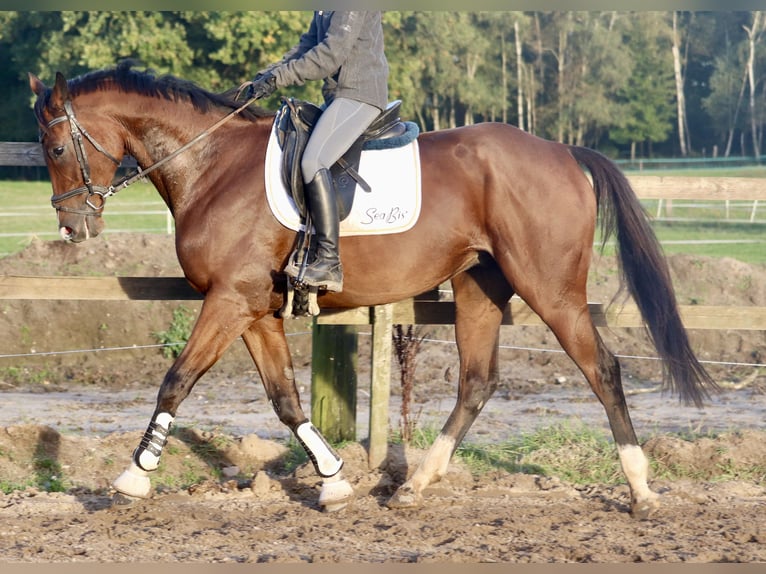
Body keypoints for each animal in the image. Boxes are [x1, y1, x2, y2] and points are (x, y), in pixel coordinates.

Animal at [27, 62, 716, 516]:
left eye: (55, 147)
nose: (73, 226)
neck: (211, 164)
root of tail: (562, 150)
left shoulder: (228, 300)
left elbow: (176, 380)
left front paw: (133, 478)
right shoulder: (253, 308)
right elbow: (286, 400)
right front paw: (333, 481)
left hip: (551, 289)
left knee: (602, 369)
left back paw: (641, 490)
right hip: (478, 286)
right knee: (477, 382)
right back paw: (413, 486)